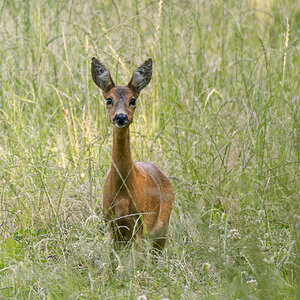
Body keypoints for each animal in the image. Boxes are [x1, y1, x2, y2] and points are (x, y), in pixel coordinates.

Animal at [91, 57, 173, 252]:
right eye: (109, 100)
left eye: (133, 100)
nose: (121, 117)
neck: (122, 193)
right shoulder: (110, 224)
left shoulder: (139, 224)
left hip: (162, 228)